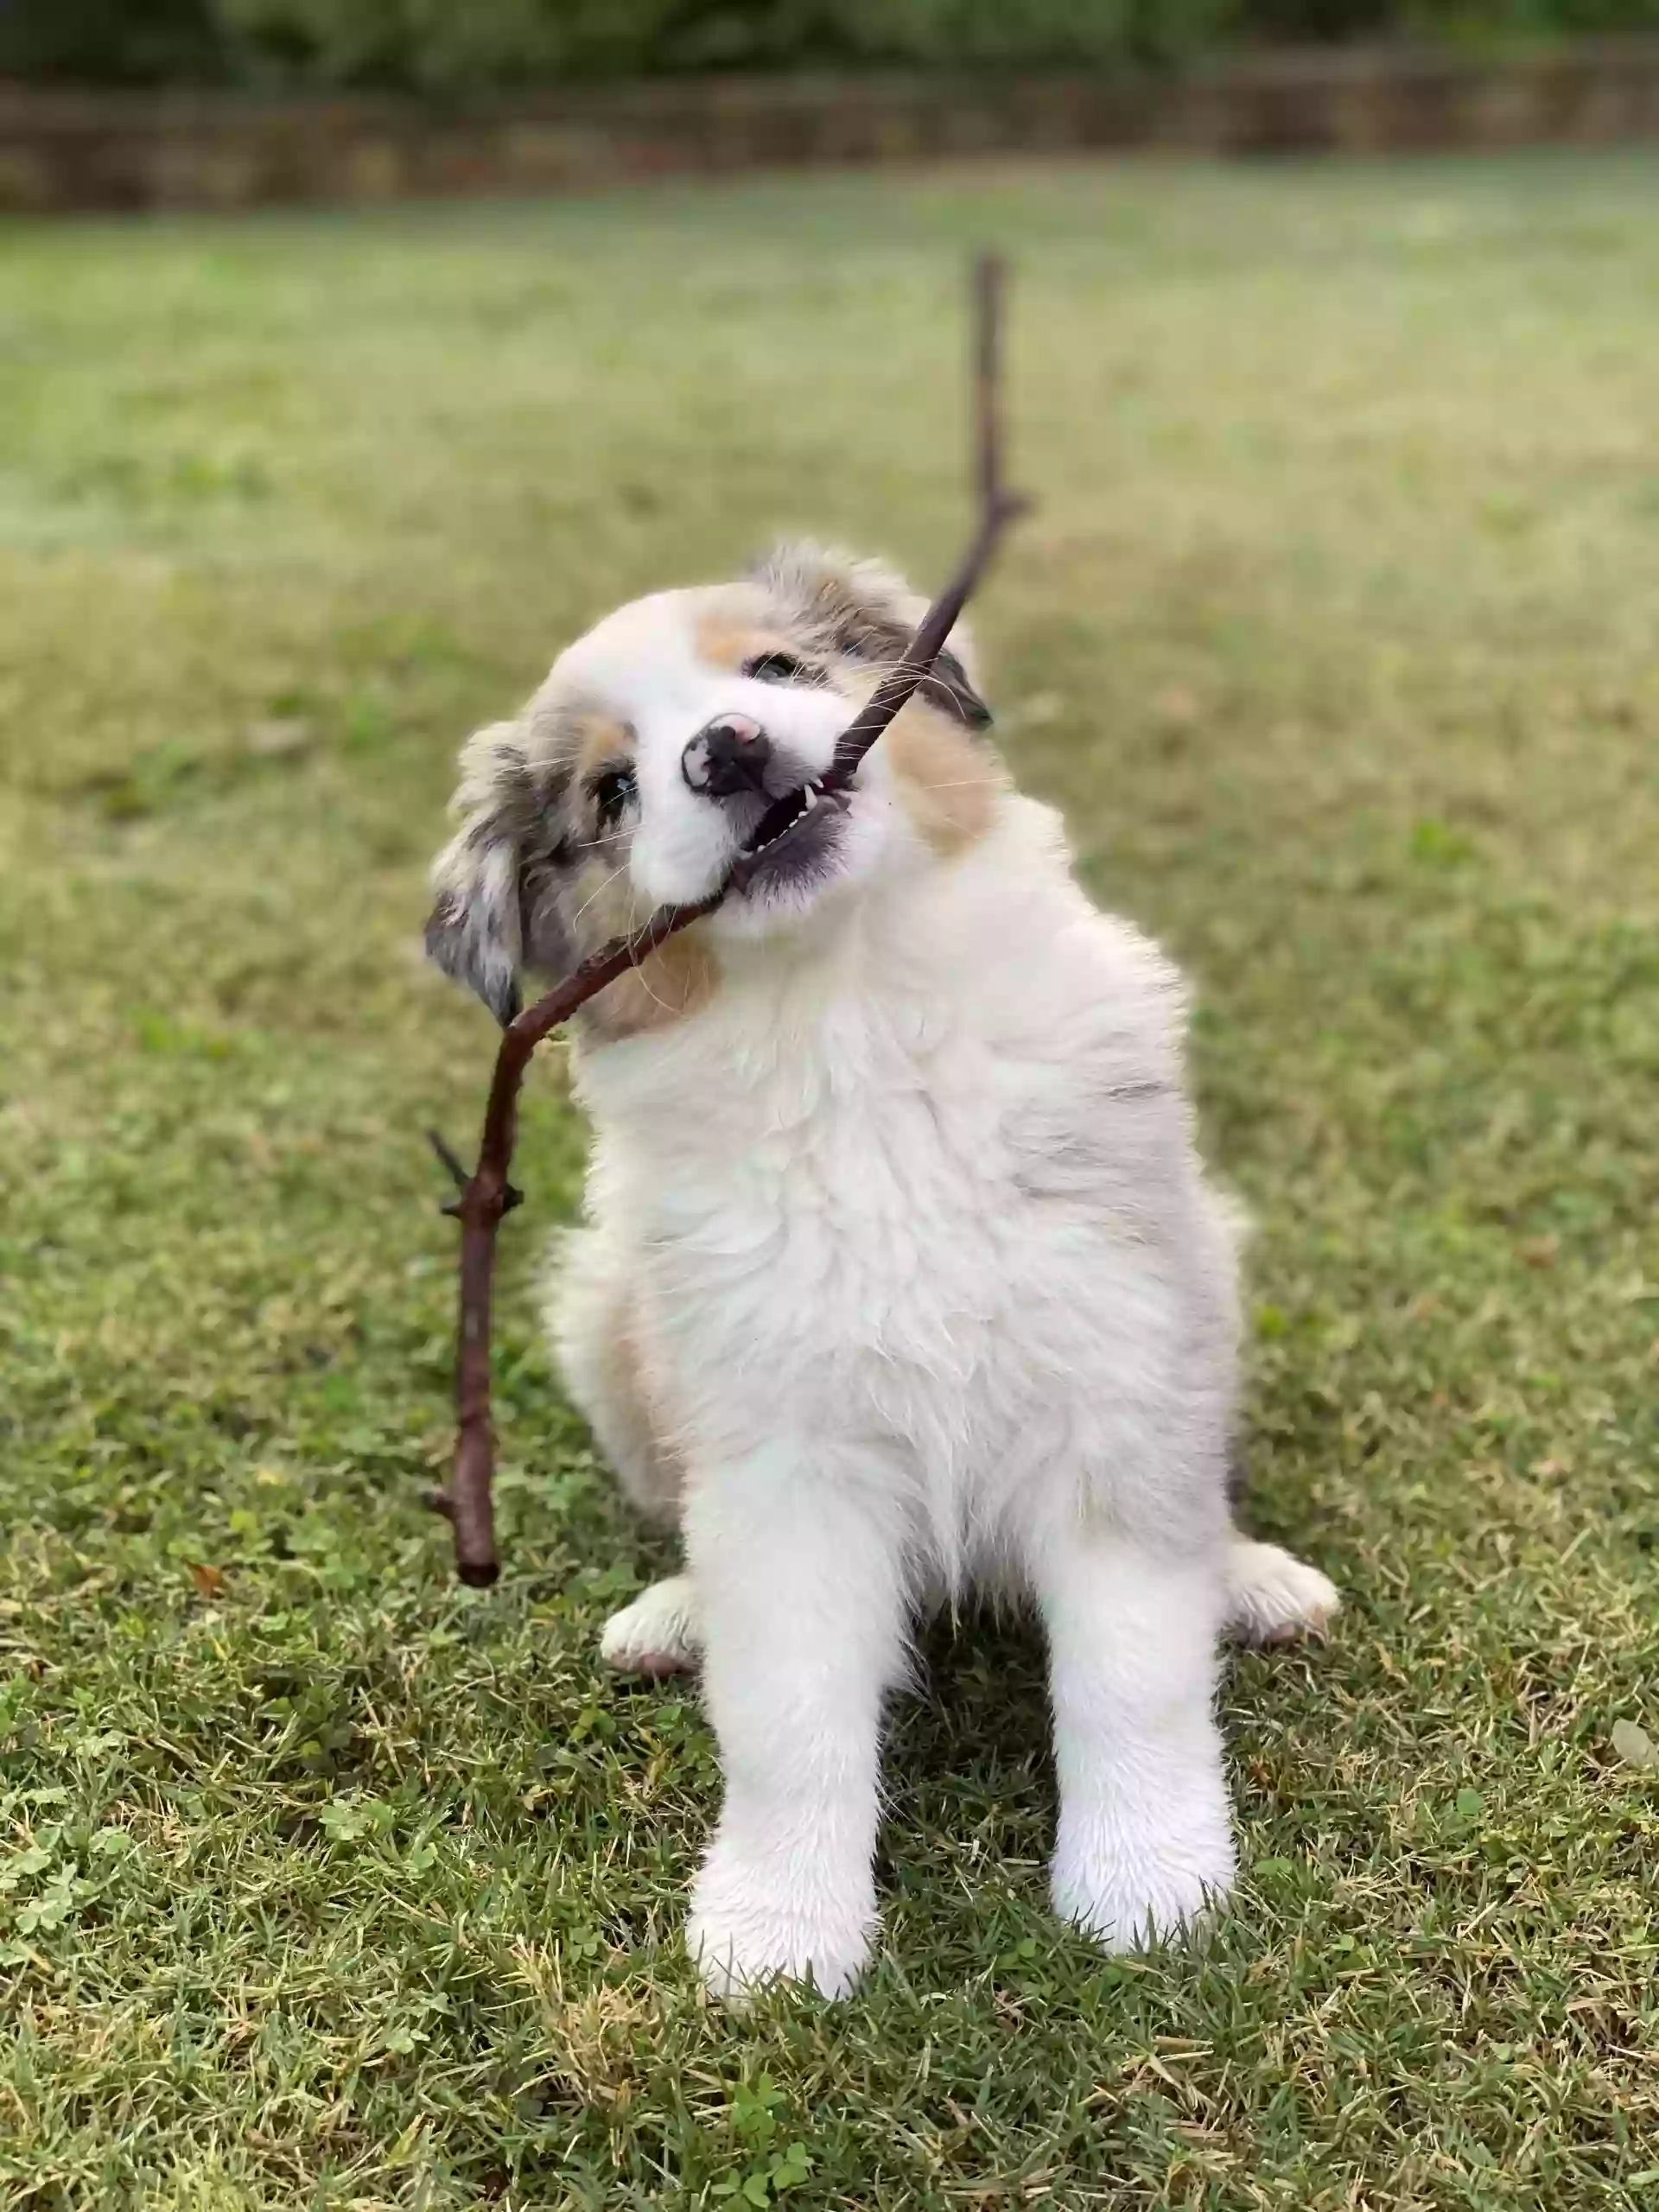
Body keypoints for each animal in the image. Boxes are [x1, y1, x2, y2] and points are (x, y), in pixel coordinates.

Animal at [429, 543, 1336, 1999]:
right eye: (611, 793)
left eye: (779, 669)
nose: (728, 750)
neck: (850, 1016)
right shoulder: (784, 1462)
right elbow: (790, 1716)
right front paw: (777, 1935)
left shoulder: (1115, 1373)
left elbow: (1132, 1673)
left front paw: (1147, 1889)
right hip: (604, 1317)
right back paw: (677, 1613)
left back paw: (1248, 1580)